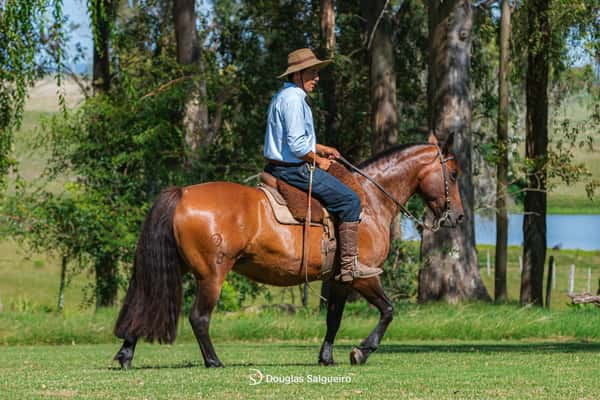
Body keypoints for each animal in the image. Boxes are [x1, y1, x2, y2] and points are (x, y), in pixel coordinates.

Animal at [115, 134, 466, 368]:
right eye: (453, 174)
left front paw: (327, 357)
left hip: (179, 268)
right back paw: (214, 361)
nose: (460, 217)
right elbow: (389, 310)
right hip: (212, 275)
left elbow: (334, 319)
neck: (370, 200)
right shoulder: (362, 276)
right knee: (199, 317)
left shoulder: (338, 279)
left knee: (146, 303)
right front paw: (361, 351)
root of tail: (183, 193)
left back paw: (126, 353)